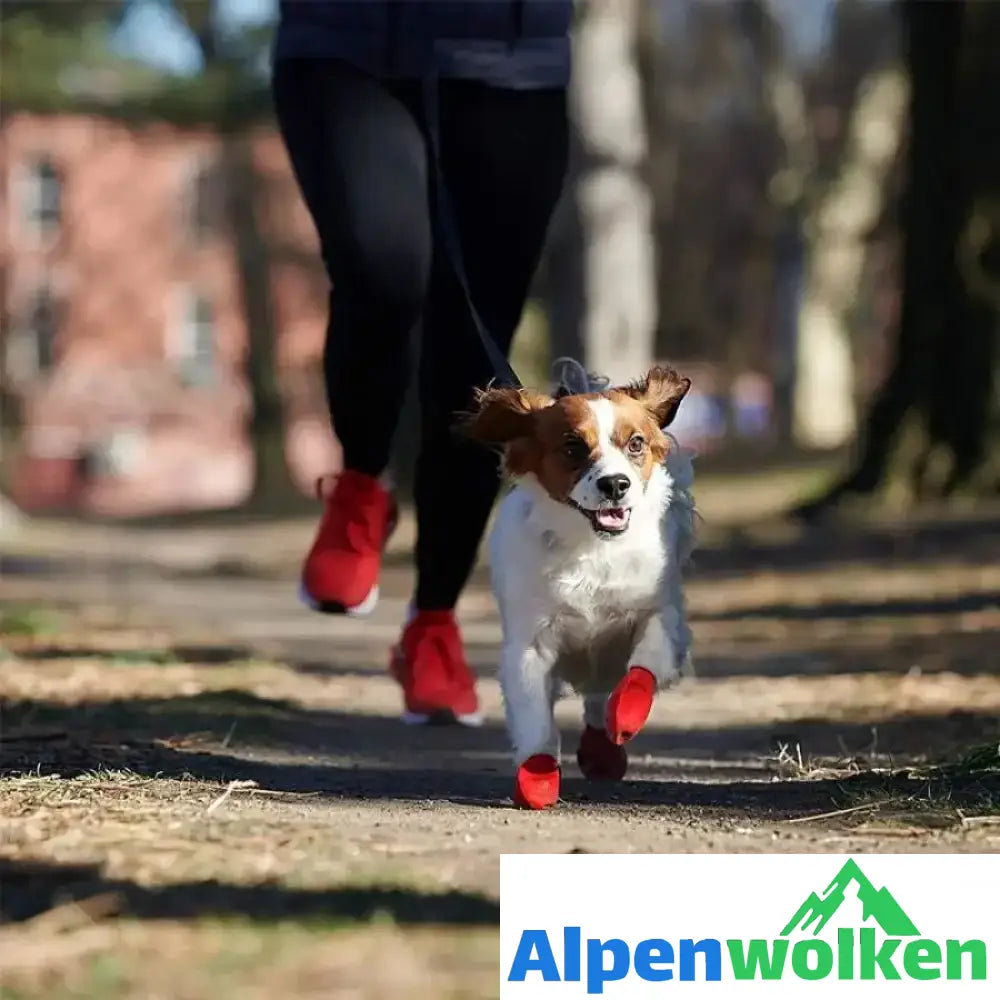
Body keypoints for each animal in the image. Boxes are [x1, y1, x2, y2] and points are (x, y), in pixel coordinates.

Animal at [462, 364, 692, 808]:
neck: (592, 546)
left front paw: (626, 713)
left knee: (600, 696)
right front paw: (536, 776)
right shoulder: (530, 646)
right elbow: (535, 719)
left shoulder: (659, 614)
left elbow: (643, 666)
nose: (615, 484)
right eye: (573, 447)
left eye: (636, 443)